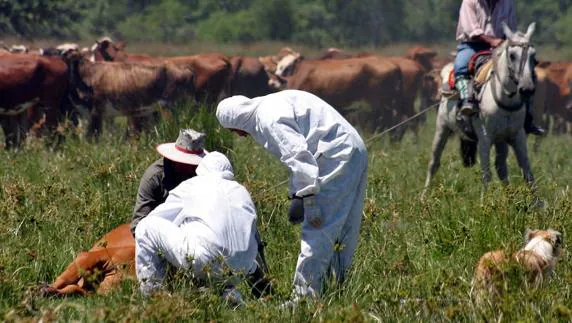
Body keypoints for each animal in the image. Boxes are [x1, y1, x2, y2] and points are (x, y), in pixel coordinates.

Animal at [424, 22, 540, 202]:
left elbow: (527, 173)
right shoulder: (485, 138)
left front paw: (539, 205)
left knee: (501, 168)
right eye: (512, 55)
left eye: (533, 57)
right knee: (433, 163)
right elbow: (486, 174)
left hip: (501, 140)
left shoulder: (518, 136)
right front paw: (484, 202)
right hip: (442, 128)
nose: (527, 89)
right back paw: (423, 197)